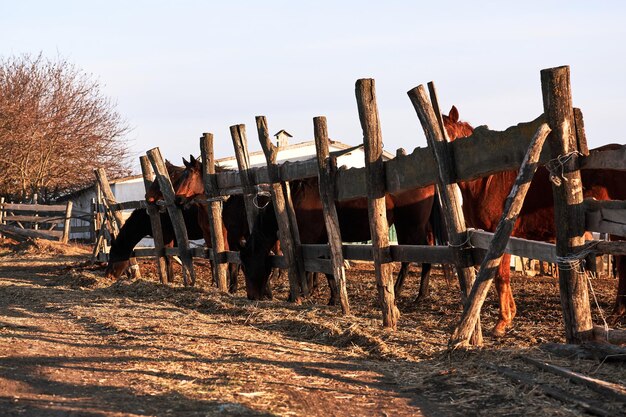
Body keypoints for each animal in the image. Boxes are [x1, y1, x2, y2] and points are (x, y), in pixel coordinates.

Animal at [442, 106, 624, 334]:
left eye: (452, 136)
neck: (486, 182)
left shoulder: (498, 235)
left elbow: (500, 276)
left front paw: (502, 322)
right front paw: (510, 314)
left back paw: (617, 313)